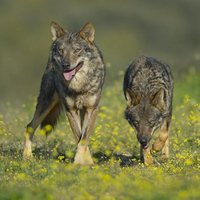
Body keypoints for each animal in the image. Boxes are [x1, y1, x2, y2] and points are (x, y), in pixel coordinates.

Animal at [22, 21, 105, 166]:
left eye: (77, 50)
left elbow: (84, 138)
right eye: (61, 51)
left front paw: (85, 162)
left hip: (80, 111)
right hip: (45, 104)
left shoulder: (92, 109)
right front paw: (81, 162)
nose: (66, 65)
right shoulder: (70, 110)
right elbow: (78, 136)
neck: (78, 86)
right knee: (29, 126)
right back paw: (27, 157)